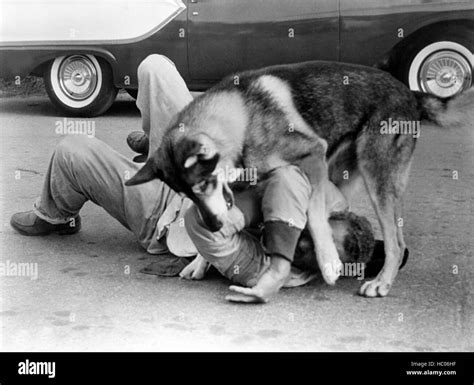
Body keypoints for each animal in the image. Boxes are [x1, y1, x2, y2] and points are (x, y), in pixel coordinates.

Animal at [127, 60, 474, 296]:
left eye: (204, 184)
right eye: (187, 194)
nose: (212, 226)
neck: (242, 116)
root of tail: (411, 93)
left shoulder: (311, 155)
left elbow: (314, 213)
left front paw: (329, 262)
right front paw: (199, 262)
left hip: (377, 181)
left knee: (396, 243)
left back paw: (381, 282)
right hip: (340, 174)